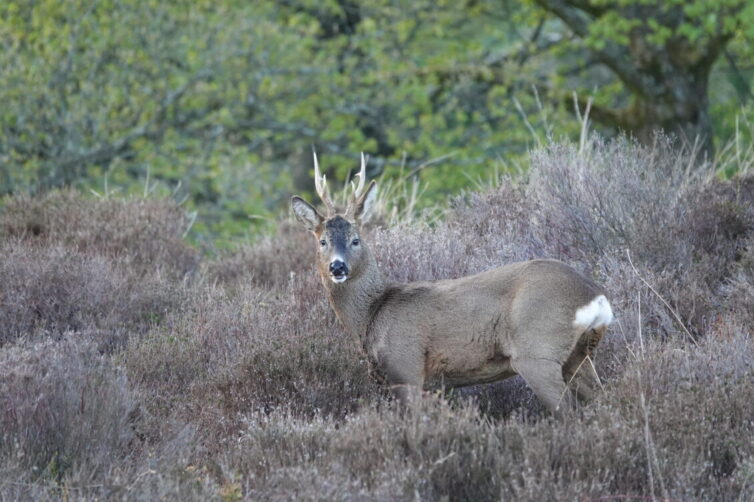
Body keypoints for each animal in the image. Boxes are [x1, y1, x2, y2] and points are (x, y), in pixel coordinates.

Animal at [290, 153, 612, 416]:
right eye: (322, 241)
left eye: (356, 240)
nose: (338, 266)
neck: (373, 315)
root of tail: (595, 297)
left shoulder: (405, 368)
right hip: (579, 356)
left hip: (537, 350)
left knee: (567, 411)